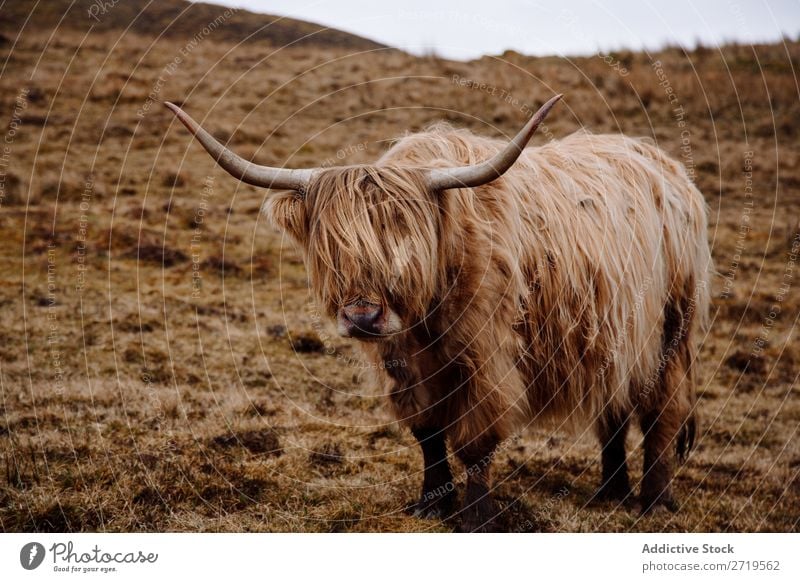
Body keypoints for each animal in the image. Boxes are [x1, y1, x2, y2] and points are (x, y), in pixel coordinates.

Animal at [166, 94, 708, 532]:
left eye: (404, 241)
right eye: (333, 247)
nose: (363, 318)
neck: (425, 319)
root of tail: (665, 167)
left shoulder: (486, 361)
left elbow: (475, 441)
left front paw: (475, 516)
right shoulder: (401, 363)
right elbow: (427, 432)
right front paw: (430, 503)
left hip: (670, 330)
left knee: (663, 410)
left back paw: (654, 499)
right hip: (613, 337)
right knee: (614, 405)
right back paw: (609, 491)